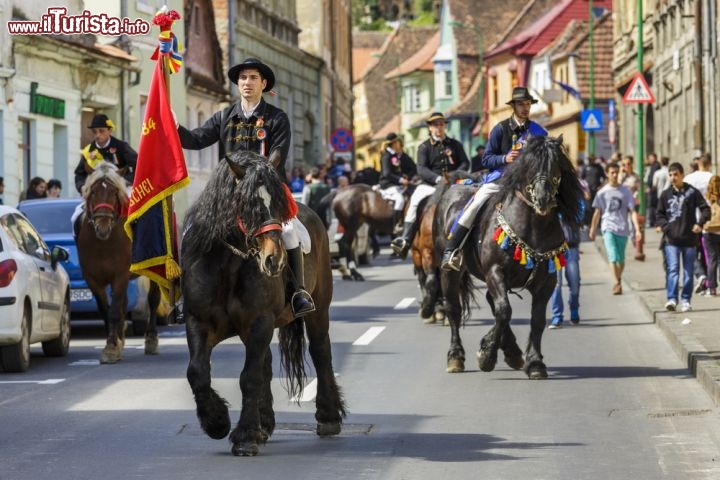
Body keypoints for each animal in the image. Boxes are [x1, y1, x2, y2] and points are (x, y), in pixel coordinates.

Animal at [76, 163, 160, 362]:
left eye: (114, 193)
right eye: (93, 192)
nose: (102, 227)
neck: (103, 244)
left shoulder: (120, 275)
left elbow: (114, 312)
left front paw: (111, 347)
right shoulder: (92, 279)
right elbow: (106, 310)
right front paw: (115, 342)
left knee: (153, 300)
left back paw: (151, 339)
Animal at [183, 151, 346, 458]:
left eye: (279, 202)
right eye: (247, 205)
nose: (275, 260)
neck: (227, 264)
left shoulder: (260, 323)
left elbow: (249, 377)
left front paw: (245, 436)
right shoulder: (198, 322)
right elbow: (197, 372)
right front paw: (217, 422)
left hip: (318, 309)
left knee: (321, 351)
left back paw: (328, 416)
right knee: (267, 364)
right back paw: (265, 424)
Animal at [434, 135, 584, 378]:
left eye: (555, 164)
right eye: (529, 164)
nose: (543, 199)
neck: (534, 226)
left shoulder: (546, 282)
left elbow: (536, 320)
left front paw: (534, 363)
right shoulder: (496, 271)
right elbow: (504, 310)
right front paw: (487, 356)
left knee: (491, 302)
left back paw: (512, 351)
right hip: (450, 273)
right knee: (454, 310)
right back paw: (456, 357)